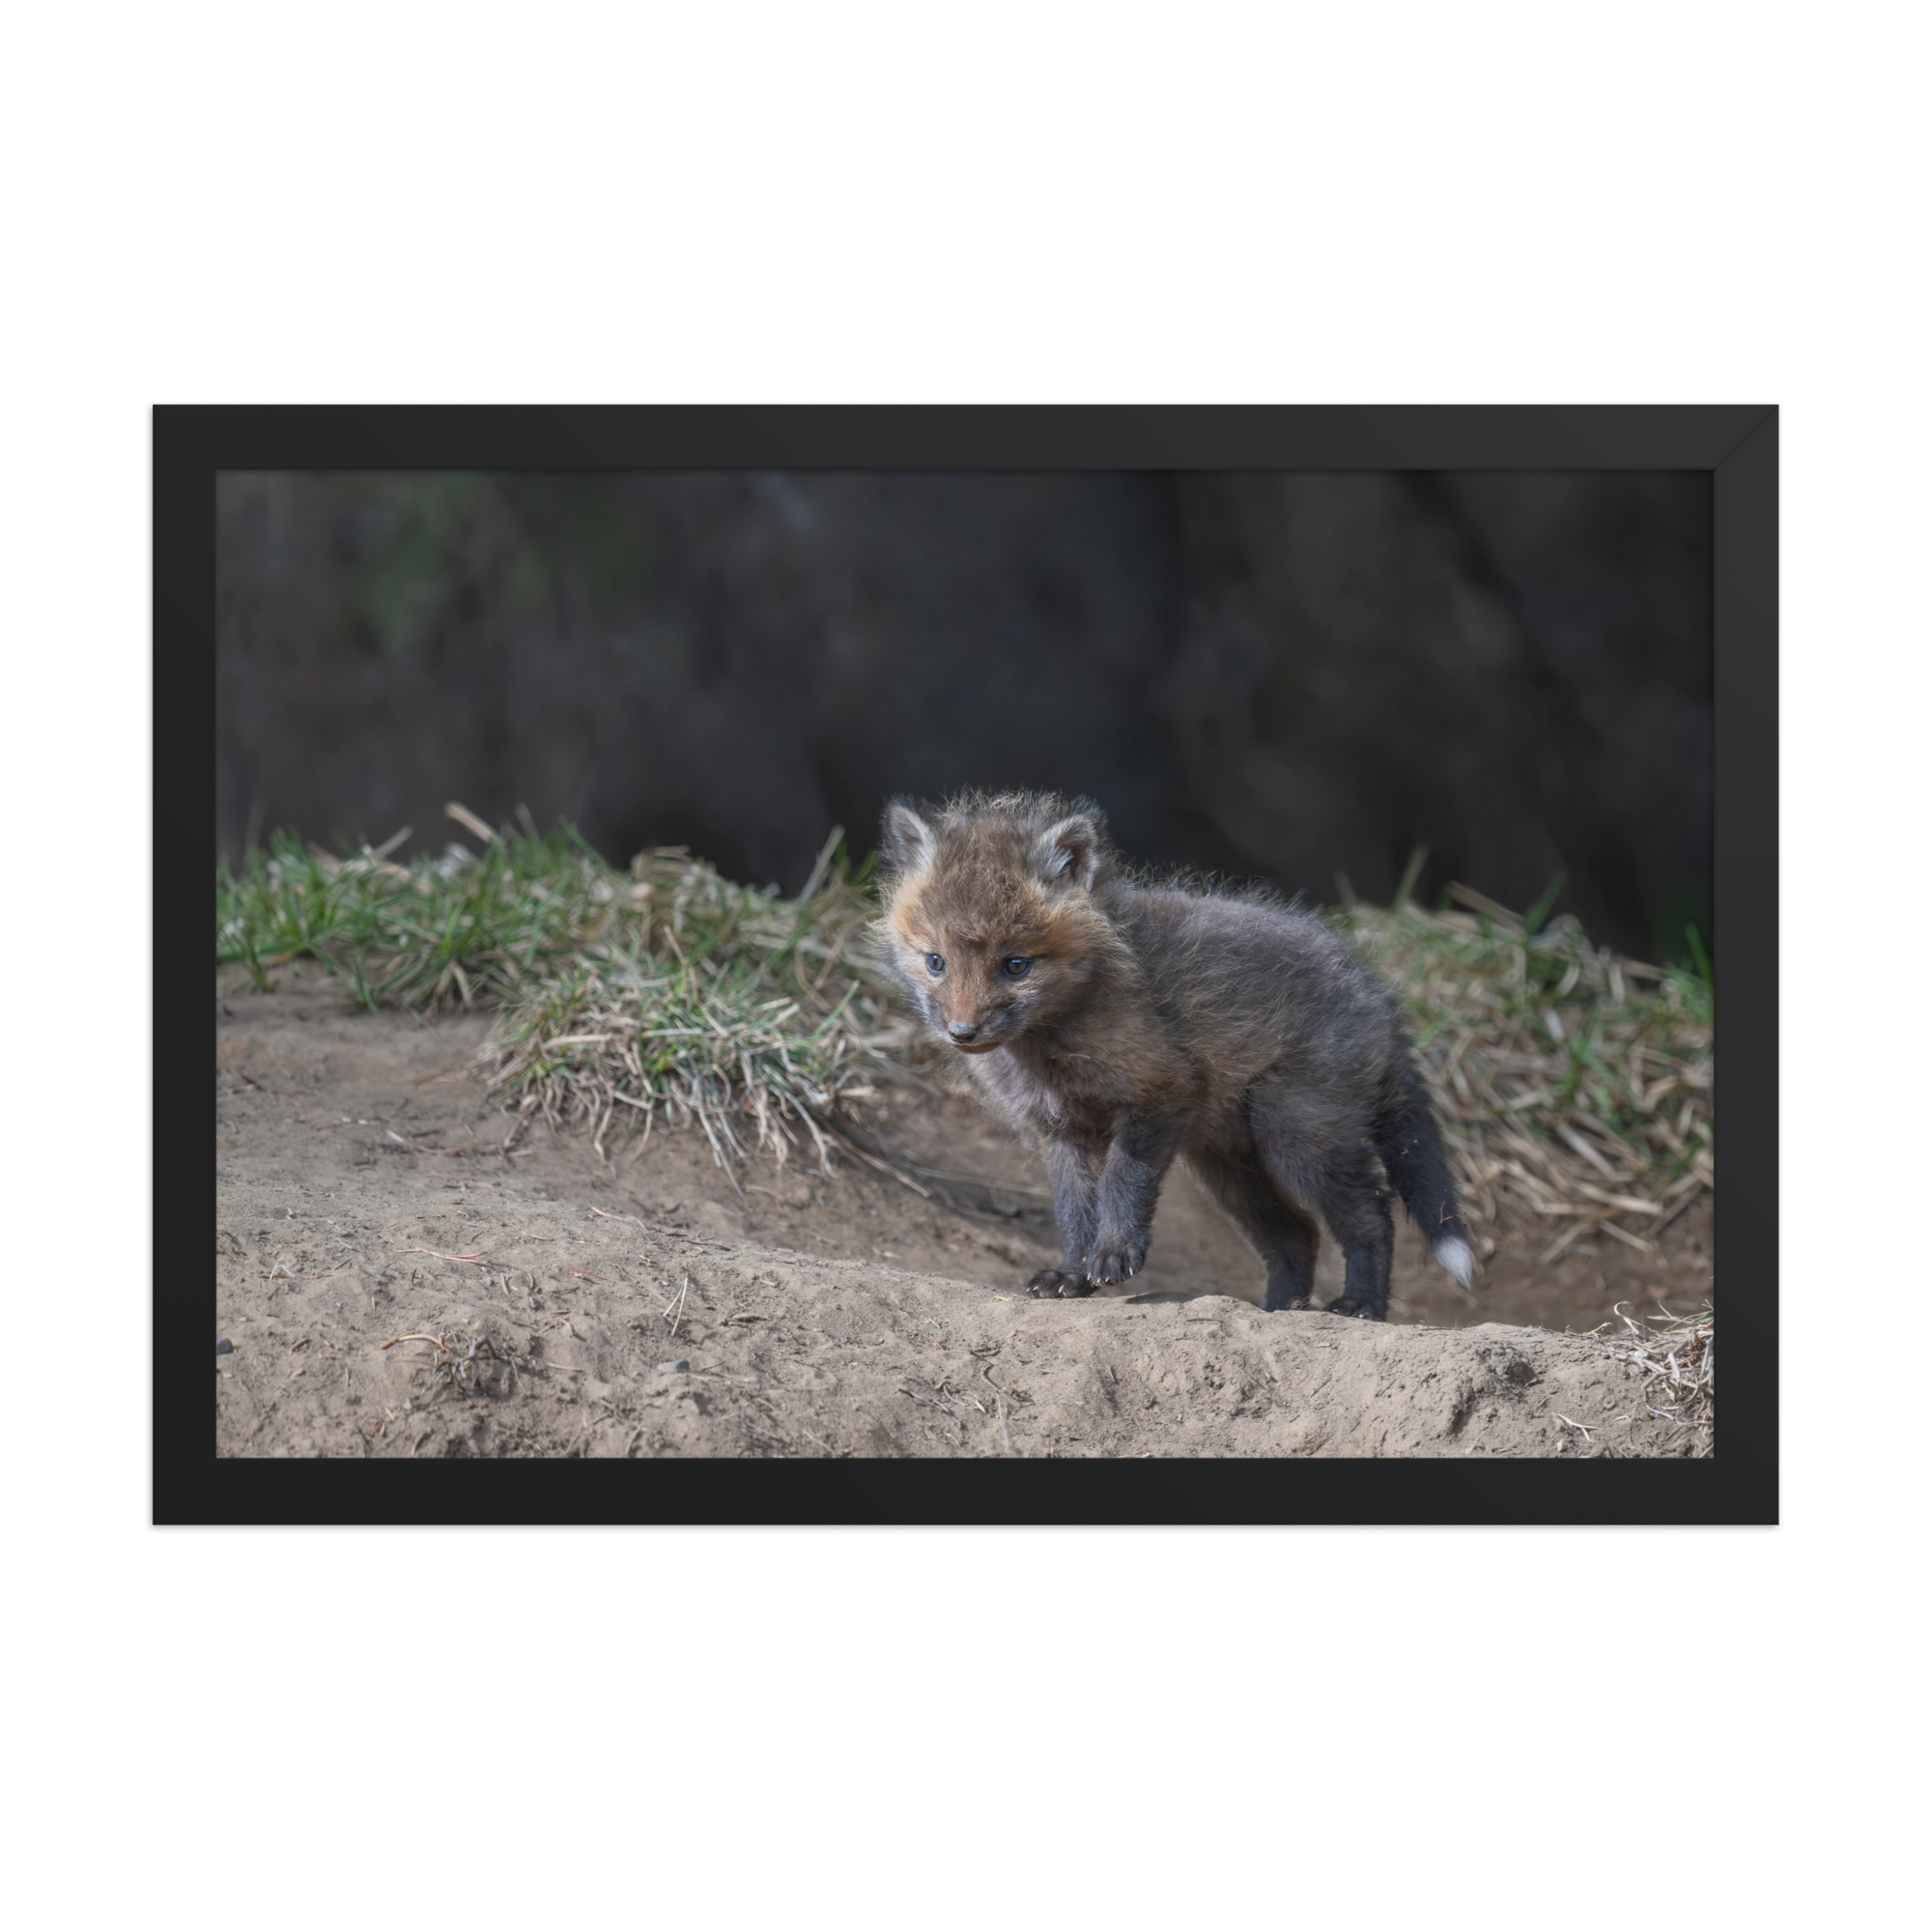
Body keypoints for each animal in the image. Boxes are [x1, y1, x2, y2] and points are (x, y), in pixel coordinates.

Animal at [877, 791, 1473, 1319]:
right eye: (935, 962)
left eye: (1016, 965)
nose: (962, 1032)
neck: (1052, 1049)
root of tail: (1377, 993)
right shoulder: (1059, 1129)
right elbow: (1074, 1210)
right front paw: (1071, 1273)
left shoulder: (1159, 1091)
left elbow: (1122, 1183)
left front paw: (1114, 1254)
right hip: (1229, 1167)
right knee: (1297, 1235)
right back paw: (1279, 1310)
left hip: (1297, 1136)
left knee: (1372, 1215)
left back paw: (1361, 1305)